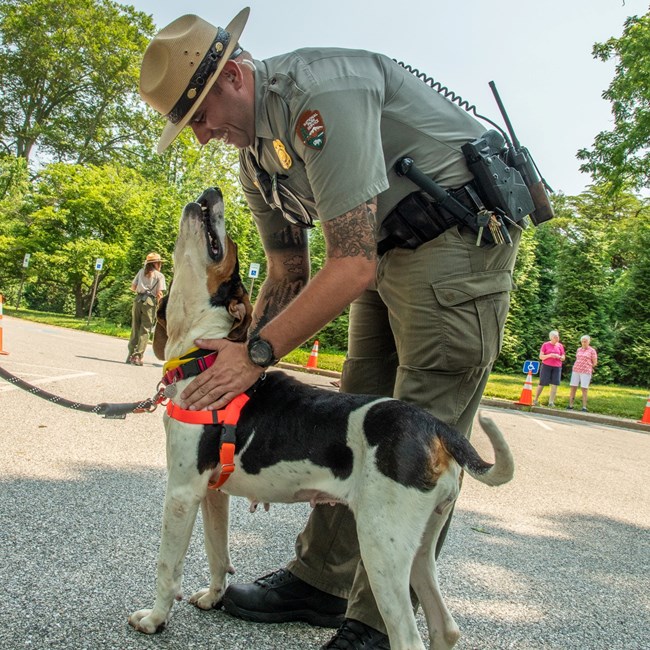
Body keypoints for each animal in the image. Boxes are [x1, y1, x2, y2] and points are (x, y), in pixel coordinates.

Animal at [126, 186, 512, 648]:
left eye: (231, 247)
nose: (213, 191)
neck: (200, 353)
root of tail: (435, 426)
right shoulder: (213, 494)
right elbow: (218, 553)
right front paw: (215, 596)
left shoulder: (183, 492)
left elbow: (168, 567)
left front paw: (155, 619)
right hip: (420, 550)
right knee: (446, 627)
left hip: (381, 548)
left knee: (407, 635)